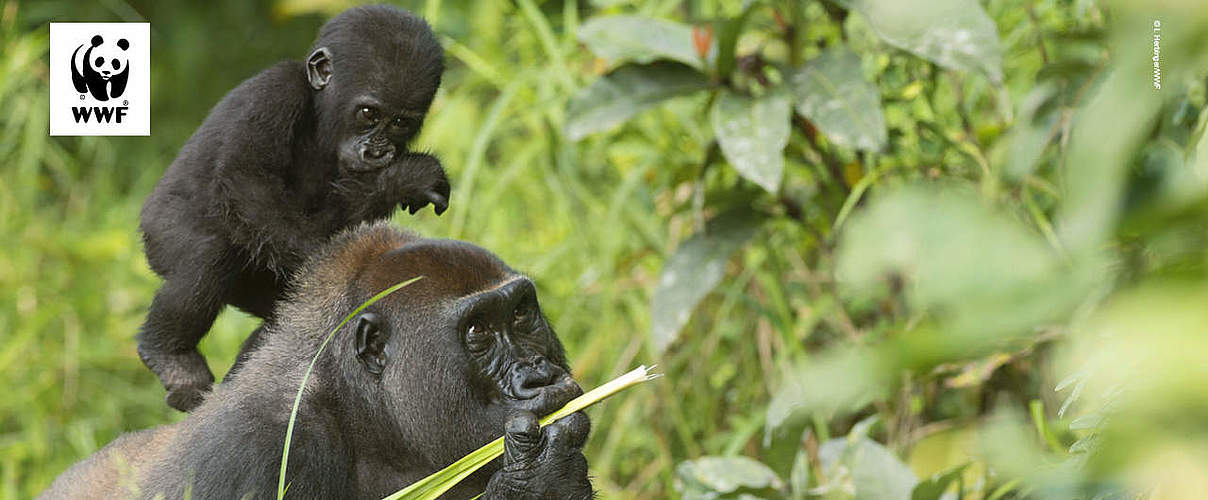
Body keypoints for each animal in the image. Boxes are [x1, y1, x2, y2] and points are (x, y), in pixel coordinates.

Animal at [41, 223, 594, 500]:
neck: (364, 417)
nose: (540, 375)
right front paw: (538, 485)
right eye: (478, 332)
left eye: (521, 314)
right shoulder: (260, 449)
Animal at [137, 3, 449, 413]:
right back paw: (170, 354)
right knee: (207, 254)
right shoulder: (274, 93)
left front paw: (401, 179)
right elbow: (247, 180)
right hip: (162, 235)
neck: (321, 111)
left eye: (399, 122)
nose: (377, 151)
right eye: (368, 113)